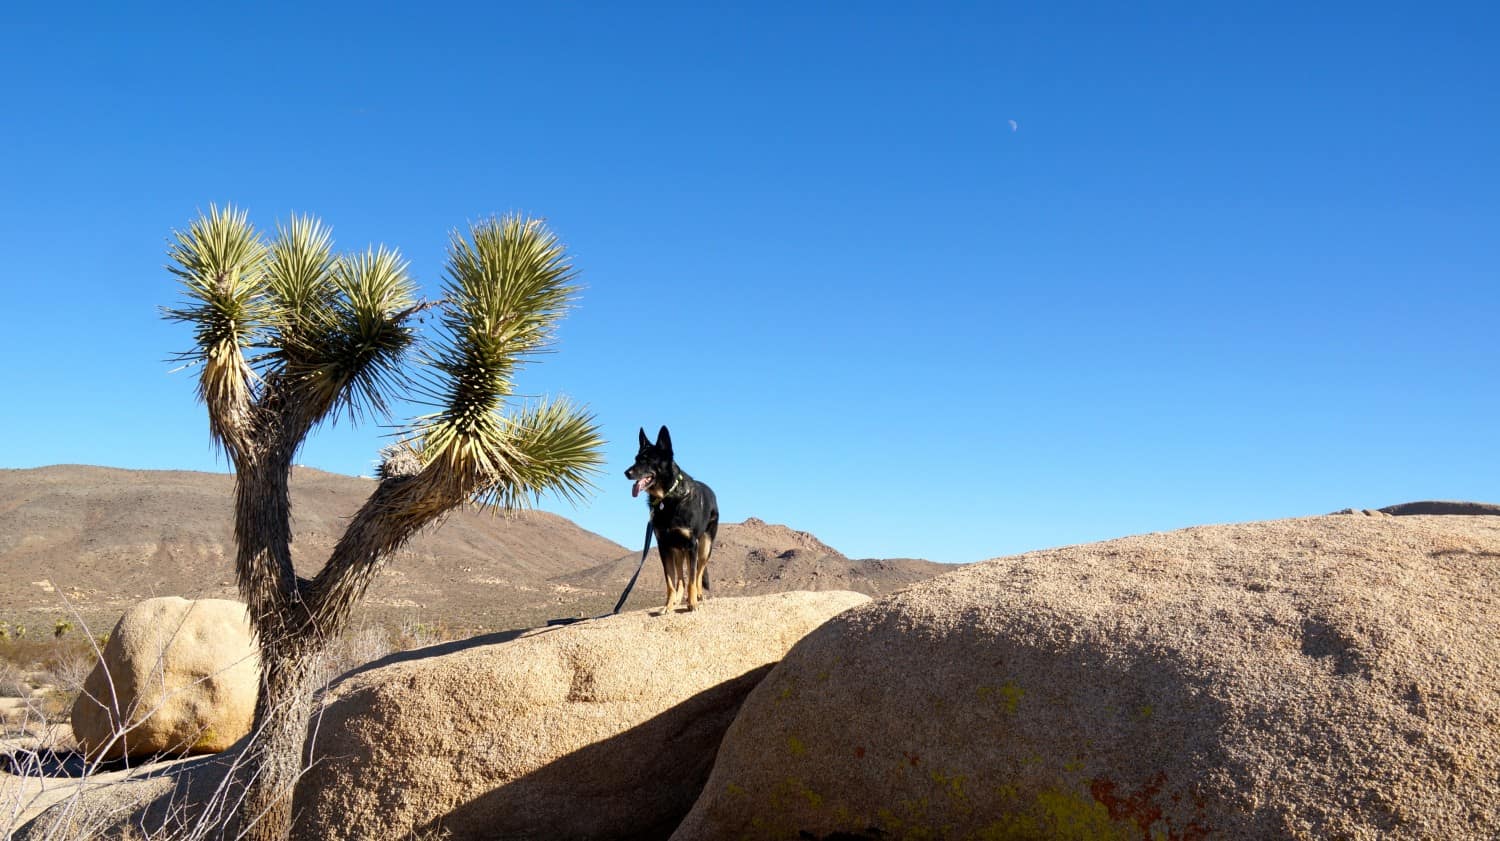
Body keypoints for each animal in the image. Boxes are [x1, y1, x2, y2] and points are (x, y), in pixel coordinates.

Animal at [627, 425, 720, 608]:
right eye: (636, 459)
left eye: (647, 460)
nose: (627, 473)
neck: (668, 497)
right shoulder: (664, 546)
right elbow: (670, 580)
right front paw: (668, 605)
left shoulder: (692, 544)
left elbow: (692, 578)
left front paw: (692, 603)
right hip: (678, 550)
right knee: (681, 577)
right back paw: (678, 598)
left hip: (704, 547)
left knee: (698, 572)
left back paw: (698, 595)